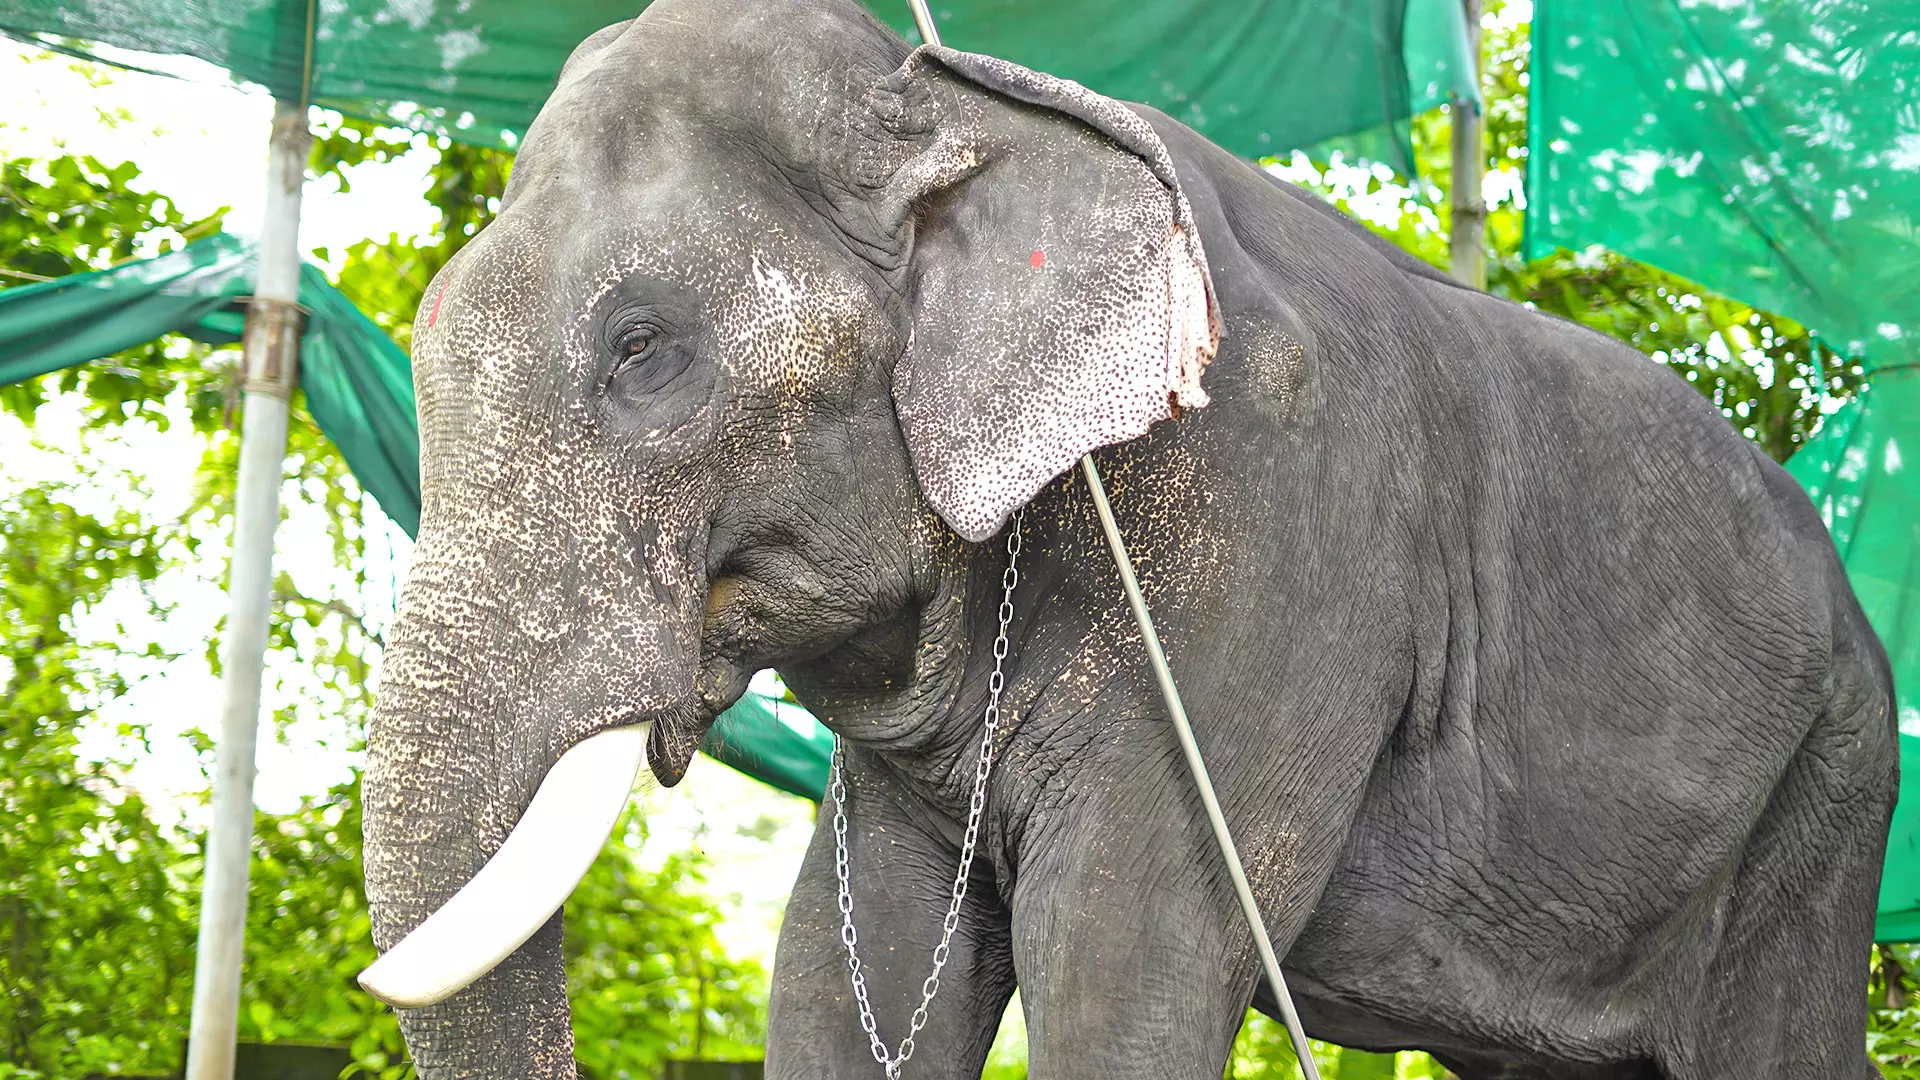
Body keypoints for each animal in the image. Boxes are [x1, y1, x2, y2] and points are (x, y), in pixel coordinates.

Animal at [357, 2, 1889, 1076]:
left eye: (643, 350)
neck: (950, 93)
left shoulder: (1276, 543)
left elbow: (1126, 960)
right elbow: (843, 976)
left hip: (1828, 793)